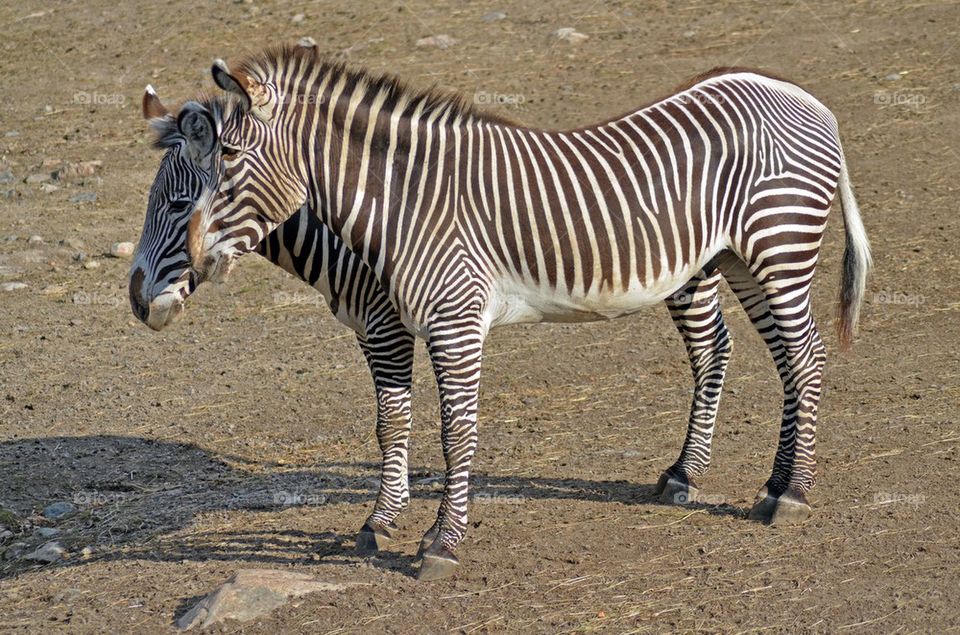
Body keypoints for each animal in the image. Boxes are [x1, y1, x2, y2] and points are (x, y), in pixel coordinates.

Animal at [184, 46, 871, 580]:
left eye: (230, 158)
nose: (194, 258)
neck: (408, 202)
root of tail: (800, 95)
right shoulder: (413, 324)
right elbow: (406, 424)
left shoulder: (454, 321)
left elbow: (456, 433)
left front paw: (442, 545)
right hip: (738, 258)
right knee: (771, 358)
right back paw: (742, 481)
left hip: (779, 245)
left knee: (805, 357)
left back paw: (792, 494)